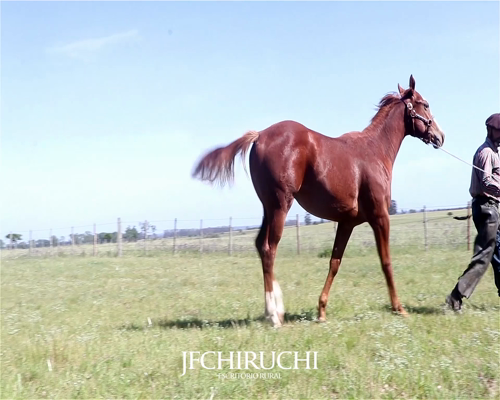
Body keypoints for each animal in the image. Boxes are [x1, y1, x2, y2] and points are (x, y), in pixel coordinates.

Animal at [192, 75, 445, 327]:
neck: (374, 150)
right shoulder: (380, 217)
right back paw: (275, 314)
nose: (440, 136)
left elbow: (335, 262)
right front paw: (399, 308)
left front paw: (321, 310)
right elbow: (386, 262)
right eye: (426, 104)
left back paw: (271, 310)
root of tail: (259, 135)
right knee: (269, 249)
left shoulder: (346, 223)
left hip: (268, 208)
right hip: (280, 206)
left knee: (260, 245)